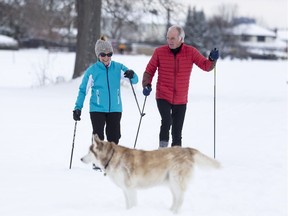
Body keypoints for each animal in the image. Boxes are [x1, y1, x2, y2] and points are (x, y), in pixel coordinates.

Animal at [81, 134, 220, 213]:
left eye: (89, 152)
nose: (81, 159)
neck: (111, 156)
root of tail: (187, 149)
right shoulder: (125, 189)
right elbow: (128, 204)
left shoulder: (130, 189)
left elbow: (132, 204)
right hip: (171, 182)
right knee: (176, 198)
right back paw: (169, 212)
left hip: (176, 180)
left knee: (180, 199)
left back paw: (174, 213)